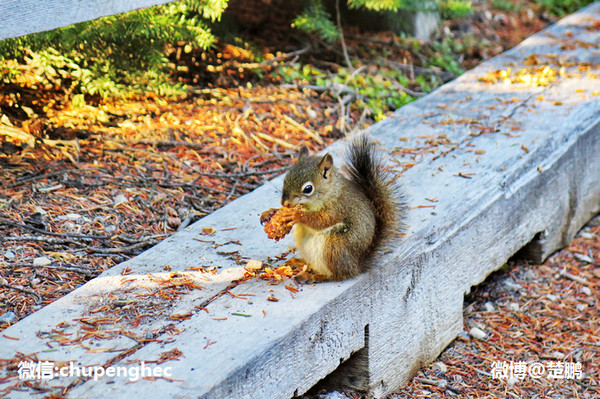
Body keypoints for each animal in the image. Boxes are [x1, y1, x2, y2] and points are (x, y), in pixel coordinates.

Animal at [262, 136, 404, 280]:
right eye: (285, 179)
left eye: (308, 189)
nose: (285, 203)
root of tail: (356, 265)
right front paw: (270, 212)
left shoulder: (337, 207)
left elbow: (321, 221)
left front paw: (296, 215)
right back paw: (299, 262)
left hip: (334, 247)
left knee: (340, 275)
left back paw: (317, 277)